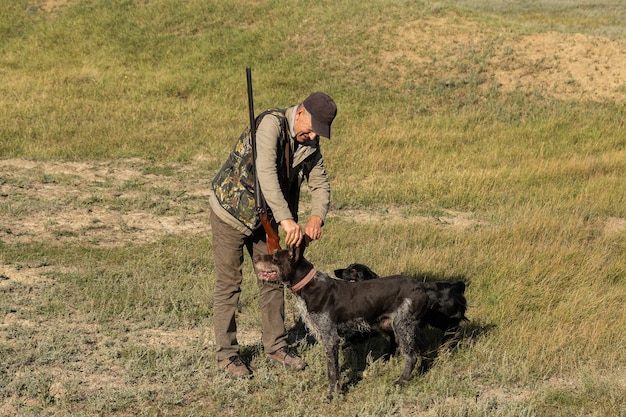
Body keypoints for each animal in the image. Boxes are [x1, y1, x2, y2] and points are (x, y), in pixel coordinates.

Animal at [252, 245, 464, 398]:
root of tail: (422, 286)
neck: (310, 285)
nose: (255, 258)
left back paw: (401, 381)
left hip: (402, 326)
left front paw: (333, 395)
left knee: (411, 356)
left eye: (275, 258)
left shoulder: (331, 338)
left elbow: (333, 371)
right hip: (406, 327)